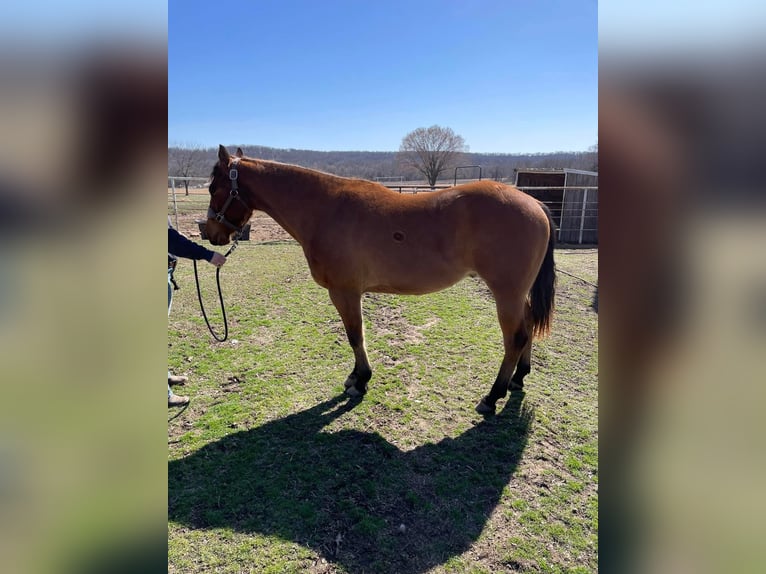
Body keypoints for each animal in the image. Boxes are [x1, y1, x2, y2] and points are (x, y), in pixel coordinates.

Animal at [207, 143, 556, 414]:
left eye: (213, 188)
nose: (211, 234)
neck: (325, 209)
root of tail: (534, 203)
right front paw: (355, 377)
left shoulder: (345, 292)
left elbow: (355, 336)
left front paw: (360, 381)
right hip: (516, 295)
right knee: (527, 326)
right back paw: (518, 378)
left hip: (506, 294)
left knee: (515, 338)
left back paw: (492, 396)